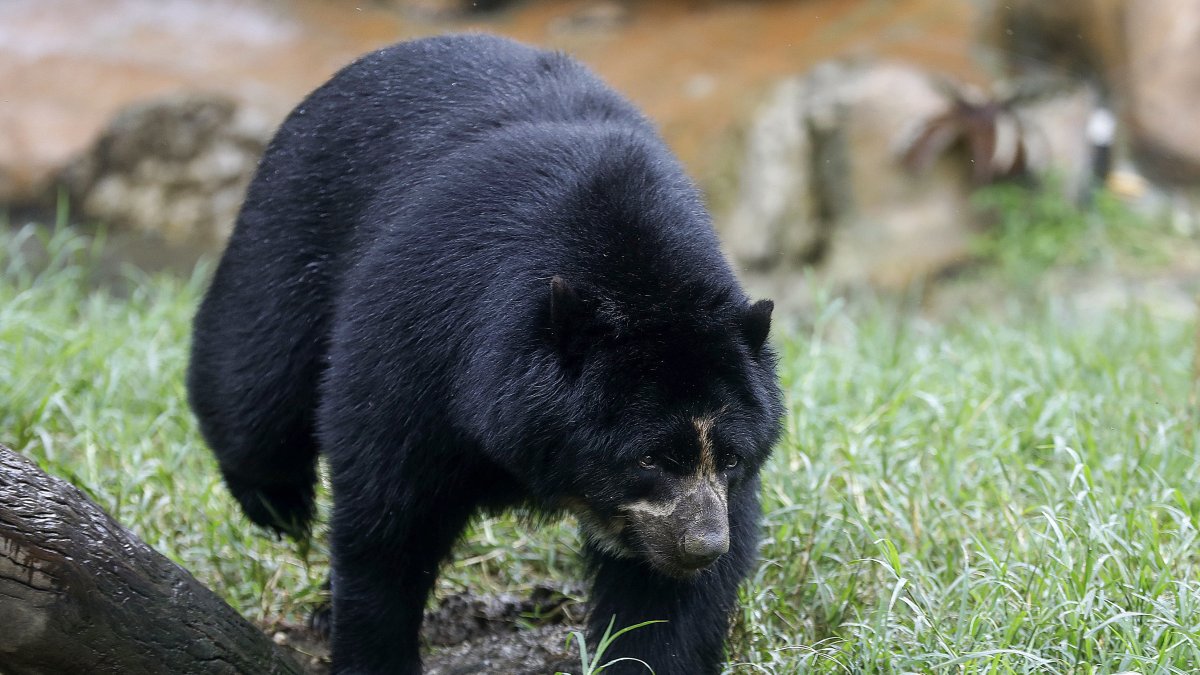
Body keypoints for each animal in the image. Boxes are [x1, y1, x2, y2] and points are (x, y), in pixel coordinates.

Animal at [187, 33, 783, 675]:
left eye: (731, 458)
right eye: (649, 458)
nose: (703, 545)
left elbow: (668, 604)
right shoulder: (420, 343)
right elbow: (388, 519)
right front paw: (373, 649)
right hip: (292, 229)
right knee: (253, 392)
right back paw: (281, 507)